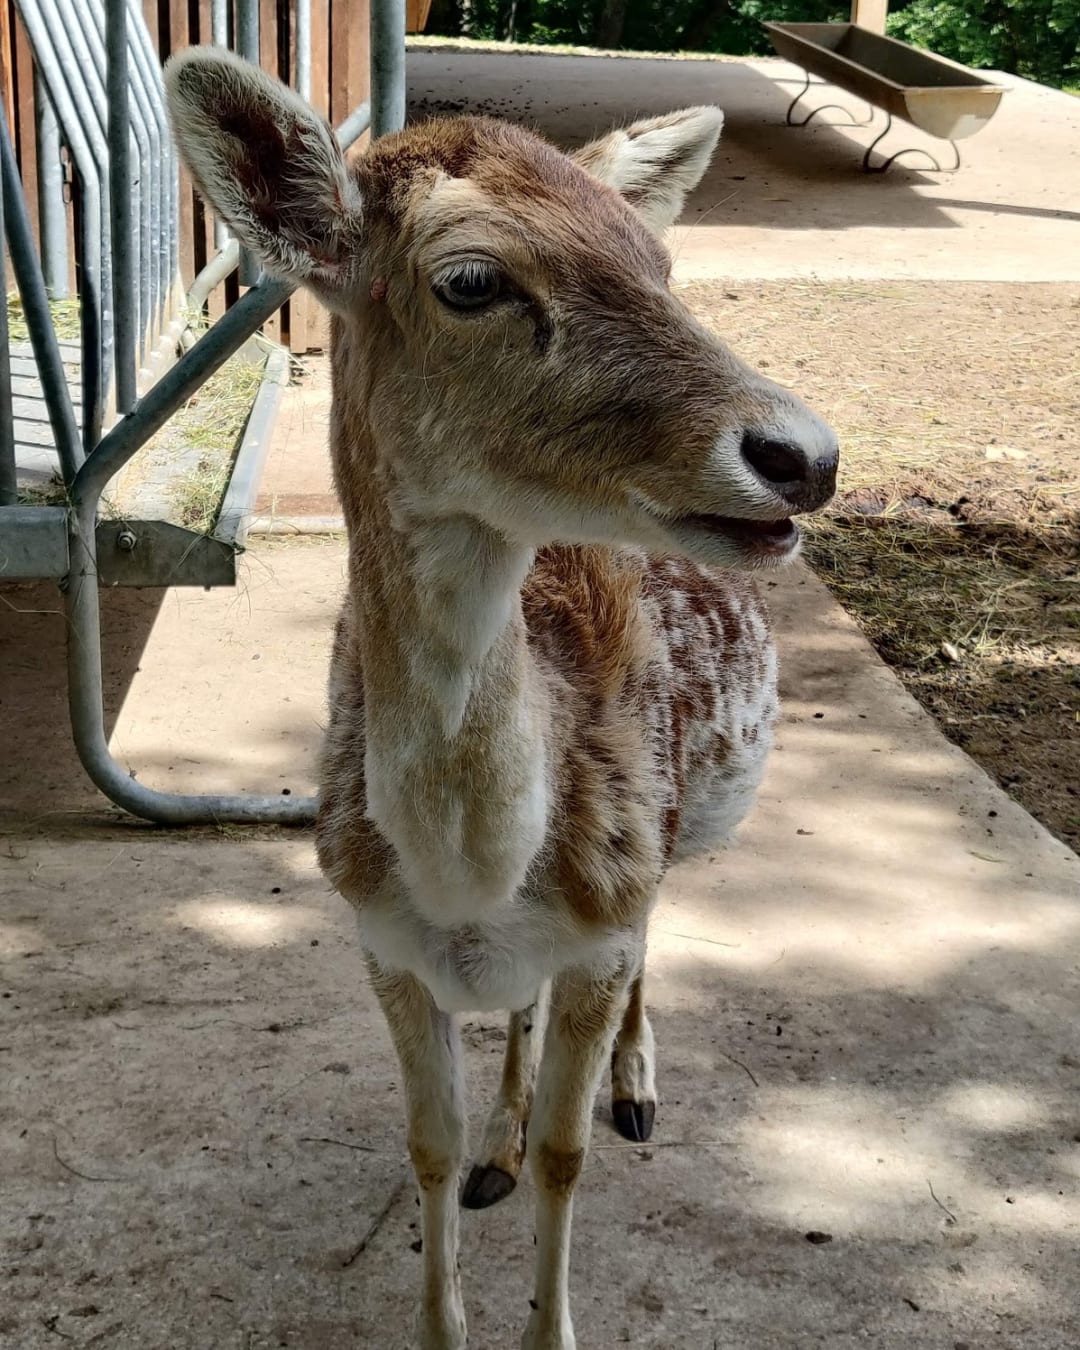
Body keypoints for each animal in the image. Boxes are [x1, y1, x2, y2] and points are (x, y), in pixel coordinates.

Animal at [168, 47, 837, 1344]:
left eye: (662, 265)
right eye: (471, 280)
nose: (805, 456)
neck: (469, 875)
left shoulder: (610, 912)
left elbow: (573, 1156)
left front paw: (553, 1306)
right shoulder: (378, 937)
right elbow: (423, 1146)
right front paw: (464, 1211)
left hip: (683, 829)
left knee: (653, 941)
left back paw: (636, 1083)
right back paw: (500, 1141)